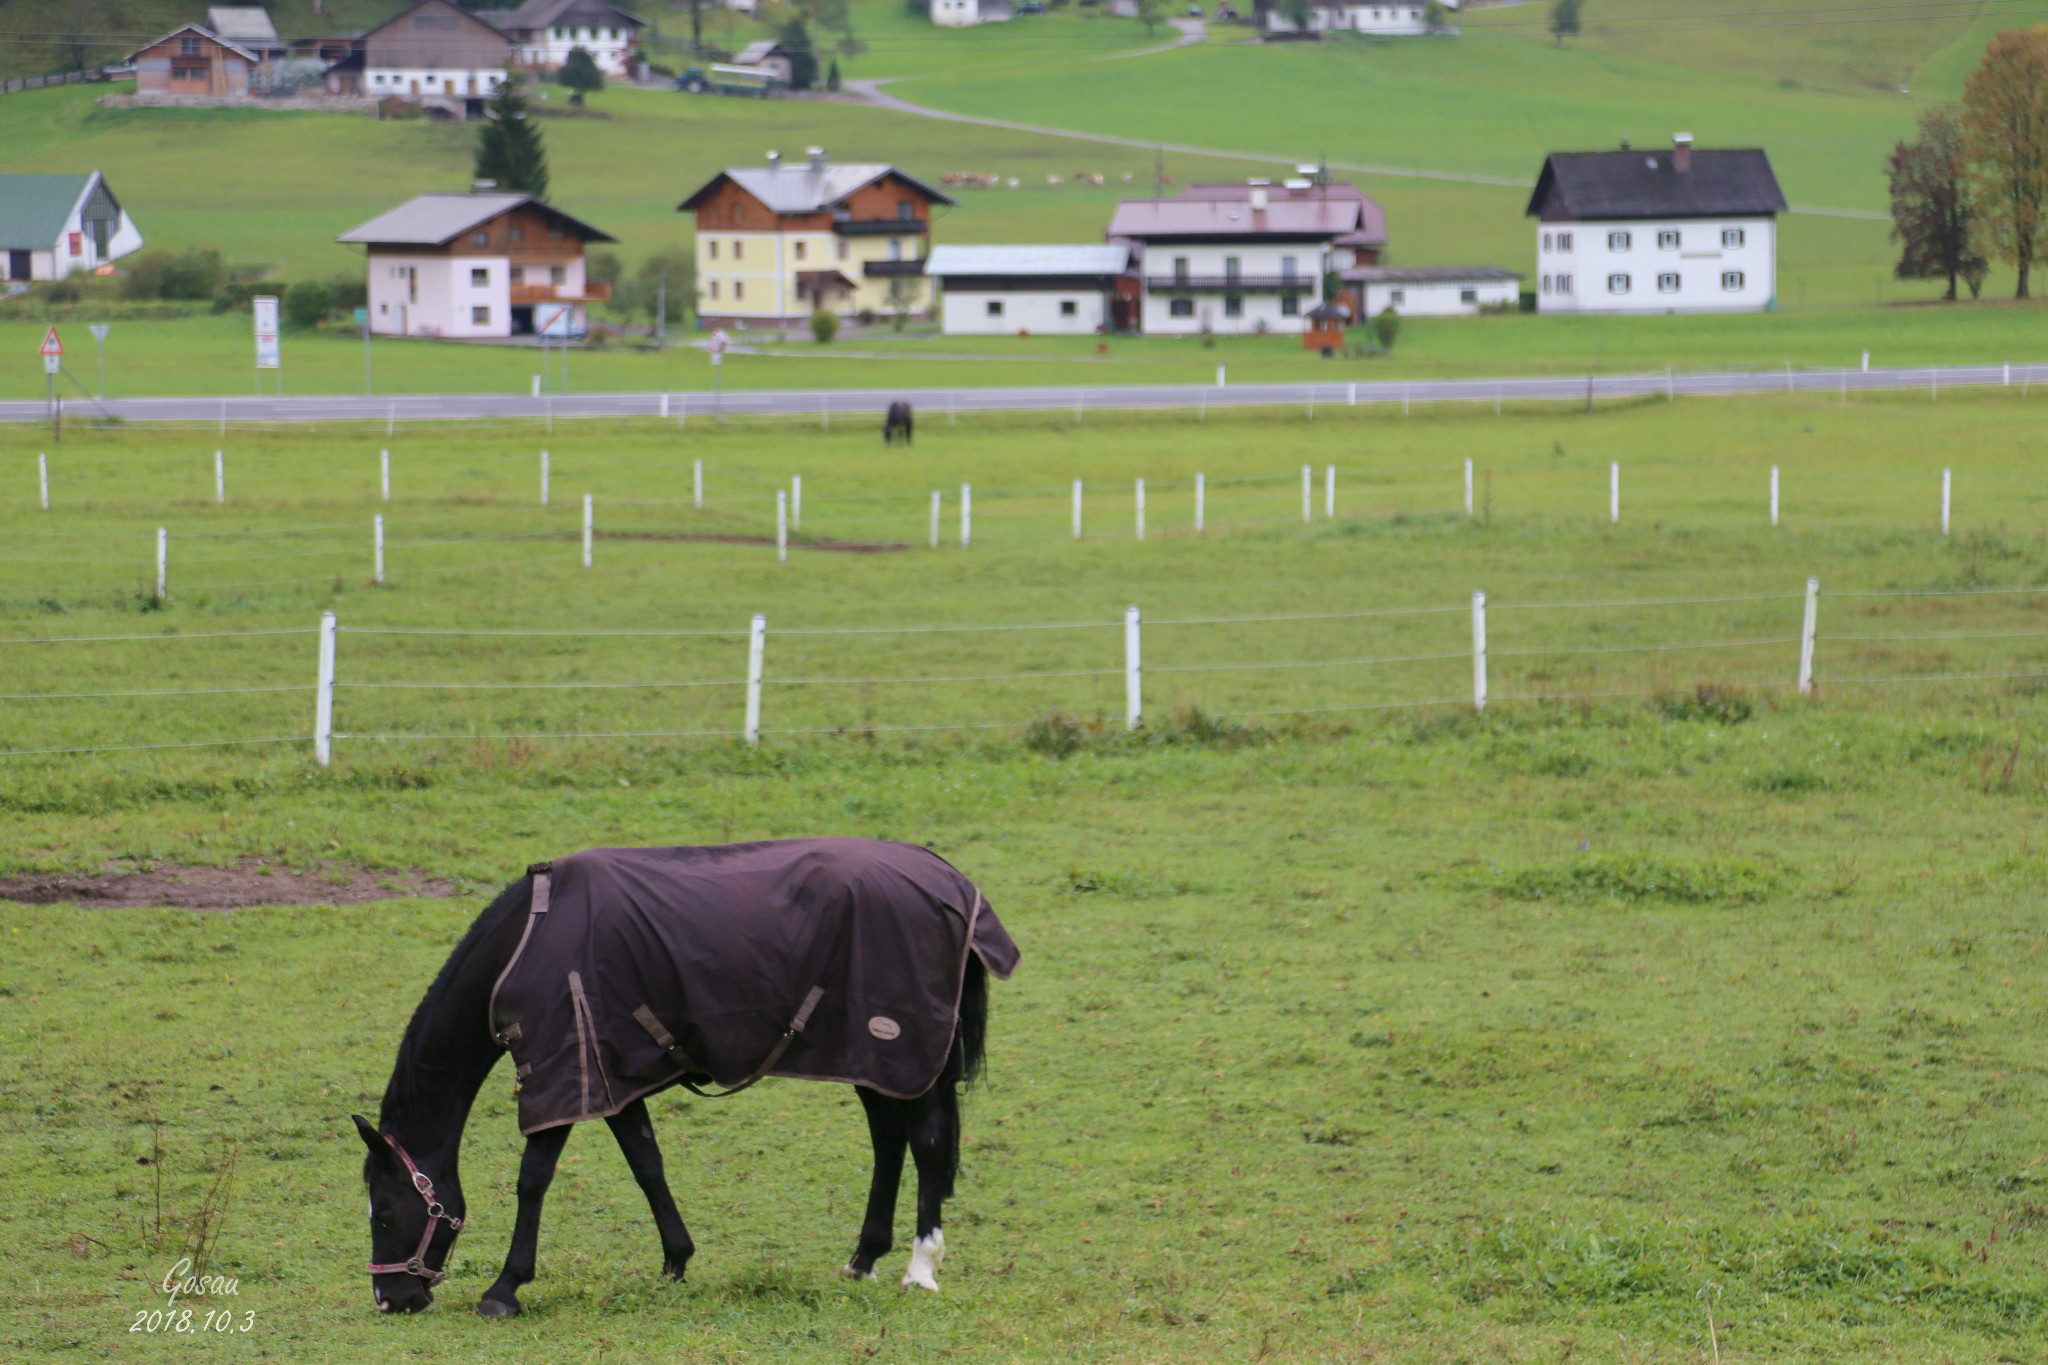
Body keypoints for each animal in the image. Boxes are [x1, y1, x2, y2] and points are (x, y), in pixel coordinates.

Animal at [360, 839, 1024, 1317]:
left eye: (386, 1212)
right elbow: (647, 1164)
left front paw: (505, 1288)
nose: (392, 1301)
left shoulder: (565, 1073)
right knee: (890, 1141)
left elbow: (533, 1180)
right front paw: (675, 1262)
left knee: (928, 1141)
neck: (534, 939)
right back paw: (863, 1259)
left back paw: (921, 1267)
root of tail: (949, 880)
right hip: (870, 1058)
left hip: (904, 1055)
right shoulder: (614, 1074)